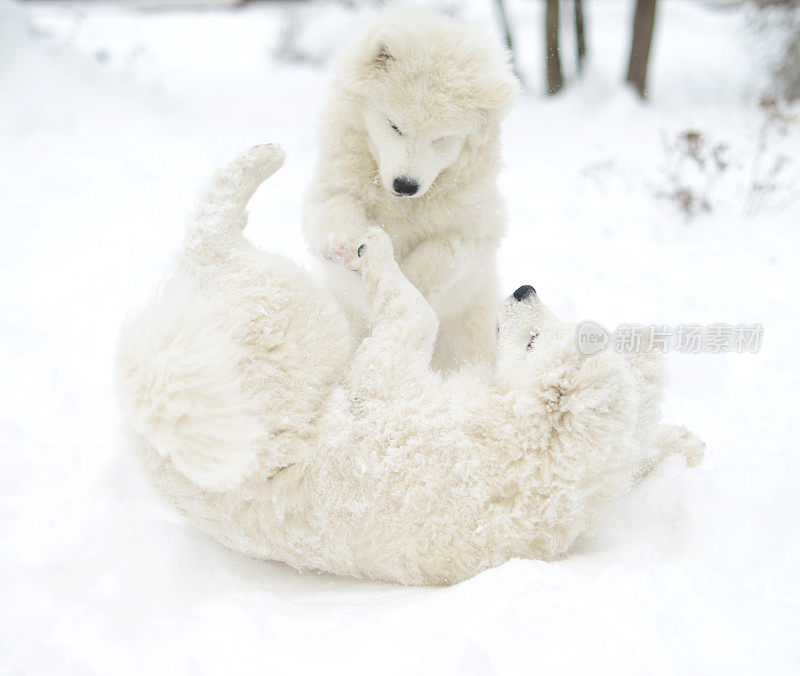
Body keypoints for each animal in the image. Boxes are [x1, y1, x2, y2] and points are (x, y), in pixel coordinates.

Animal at [115, 147, 704, 588]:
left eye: (534, 340)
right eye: (552, 328)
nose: (524, 289)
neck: (521, 453)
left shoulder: (382, 386)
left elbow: (416, 316)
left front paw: (375, 250)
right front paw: (683, 443)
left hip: (284, 309)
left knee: (213, 239)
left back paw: (261, 166)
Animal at [302, 7, 520, 370]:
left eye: (441, 138)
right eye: (395, 126)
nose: (405, 185)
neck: (401, 207)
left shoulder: (479, 223)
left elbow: (448, 250)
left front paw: (404, 278)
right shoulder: (333, 181)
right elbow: (334, 205)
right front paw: (343, 241)